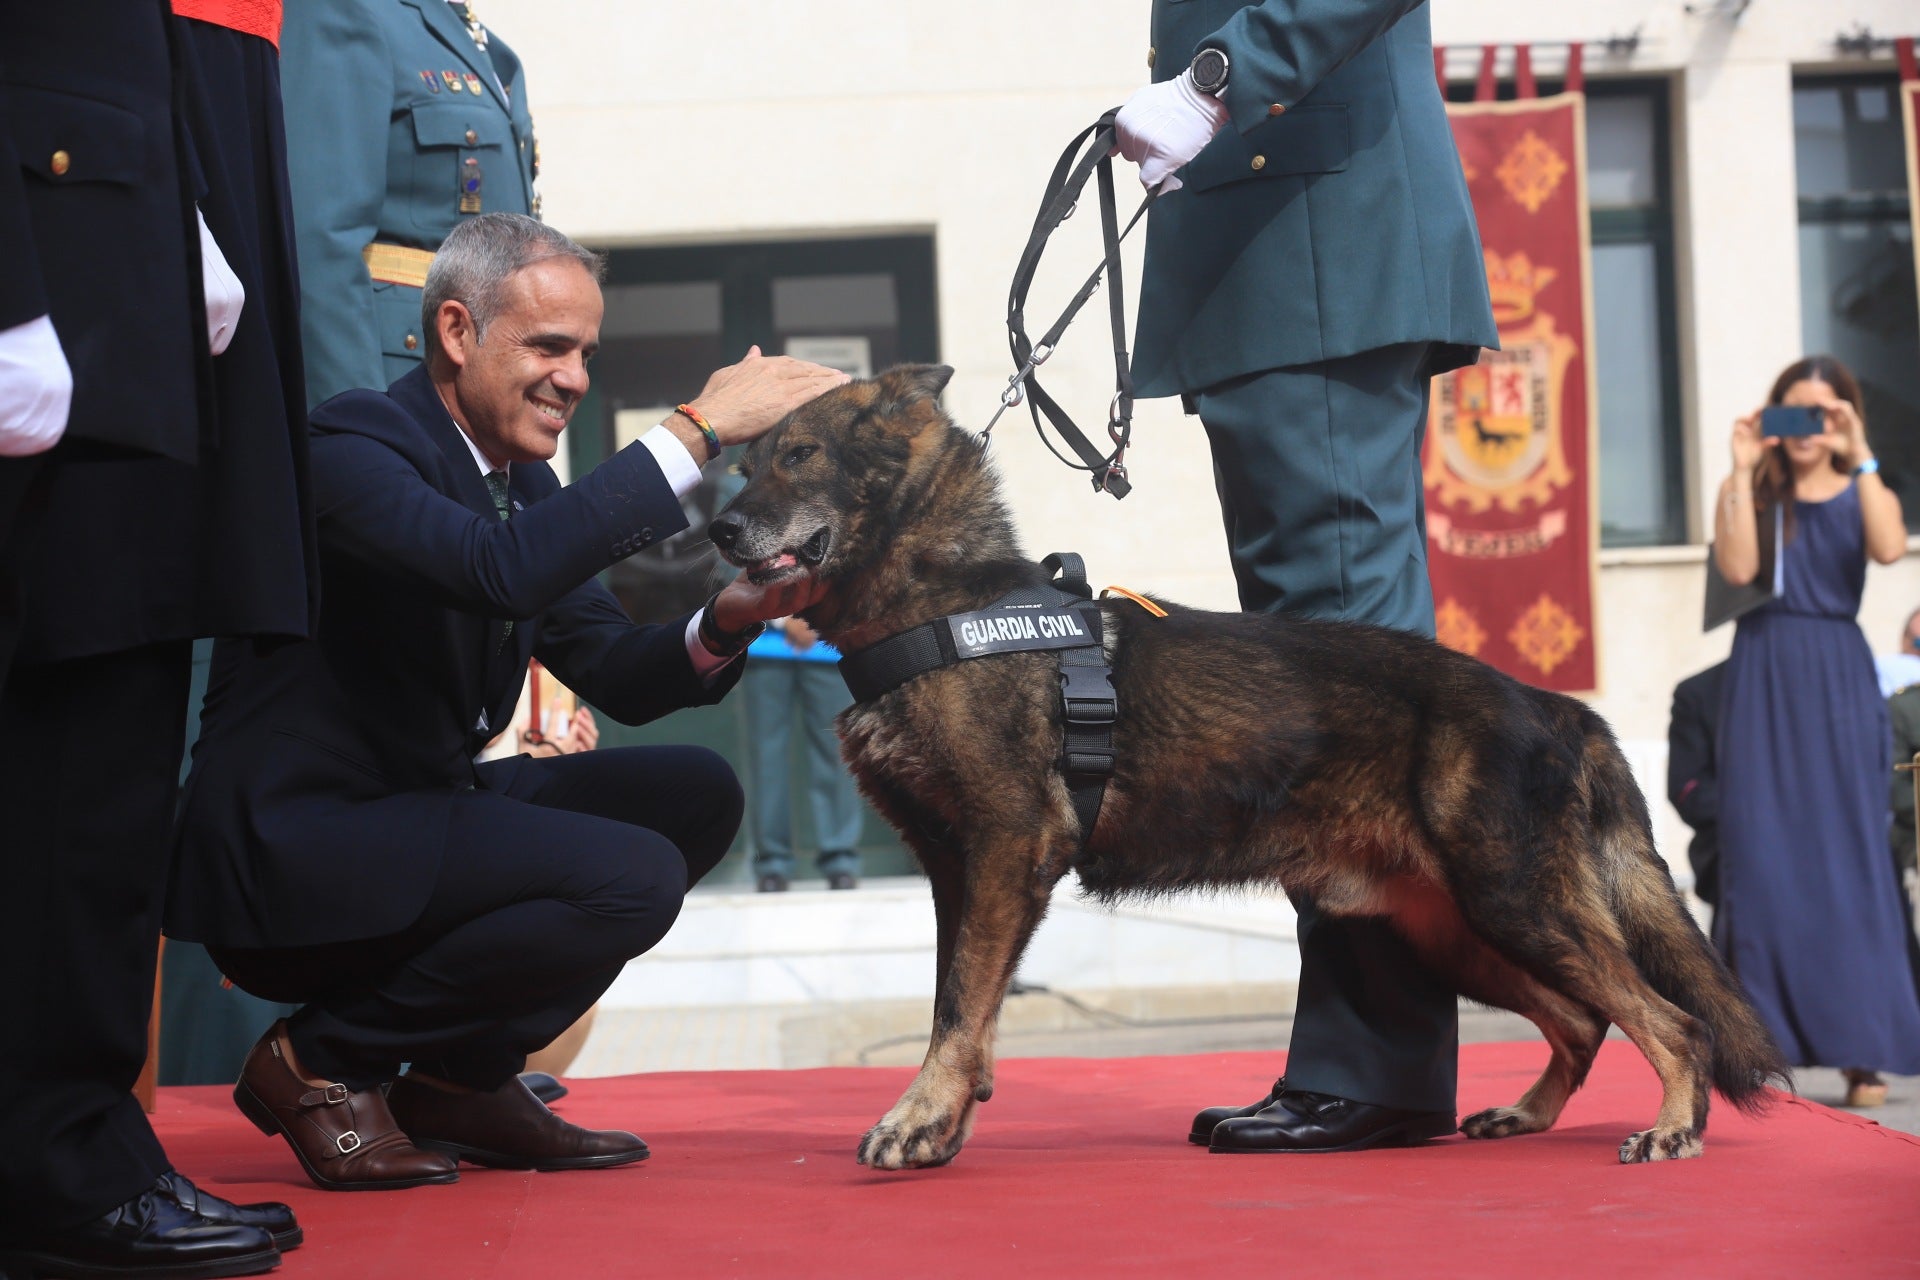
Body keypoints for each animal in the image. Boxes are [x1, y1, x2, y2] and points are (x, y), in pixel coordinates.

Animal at [714, 364, 1789, 1174]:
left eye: (800, 456)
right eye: (743, 464)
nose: (717, 531)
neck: (944, 600)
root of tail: (1552, 704)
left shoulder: (1005, 854)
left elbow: (954, 1006)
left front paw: (920, 1118)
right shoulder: (956, 872)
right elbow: (961, 1006)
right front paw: (950, 1113)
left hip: (1511, 903)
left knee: (1668, 1021)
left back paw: (1674, 1125)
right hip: (1451, 929)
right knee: (1581, 1019)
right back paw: (1529, 1114)